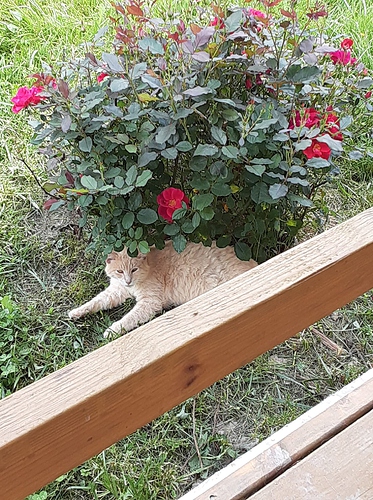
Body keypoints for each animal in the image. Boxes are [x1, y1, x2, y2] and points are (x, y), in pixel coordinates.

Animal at [68, 241, 258, 338]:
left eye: (134, 269)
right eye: (120, 271)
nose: (128, 281)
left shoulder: (150, 303)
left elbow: (129, 318)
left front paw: (112, 330)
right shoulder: (116, 291)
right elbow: (96, 301)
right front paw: (77, 312)